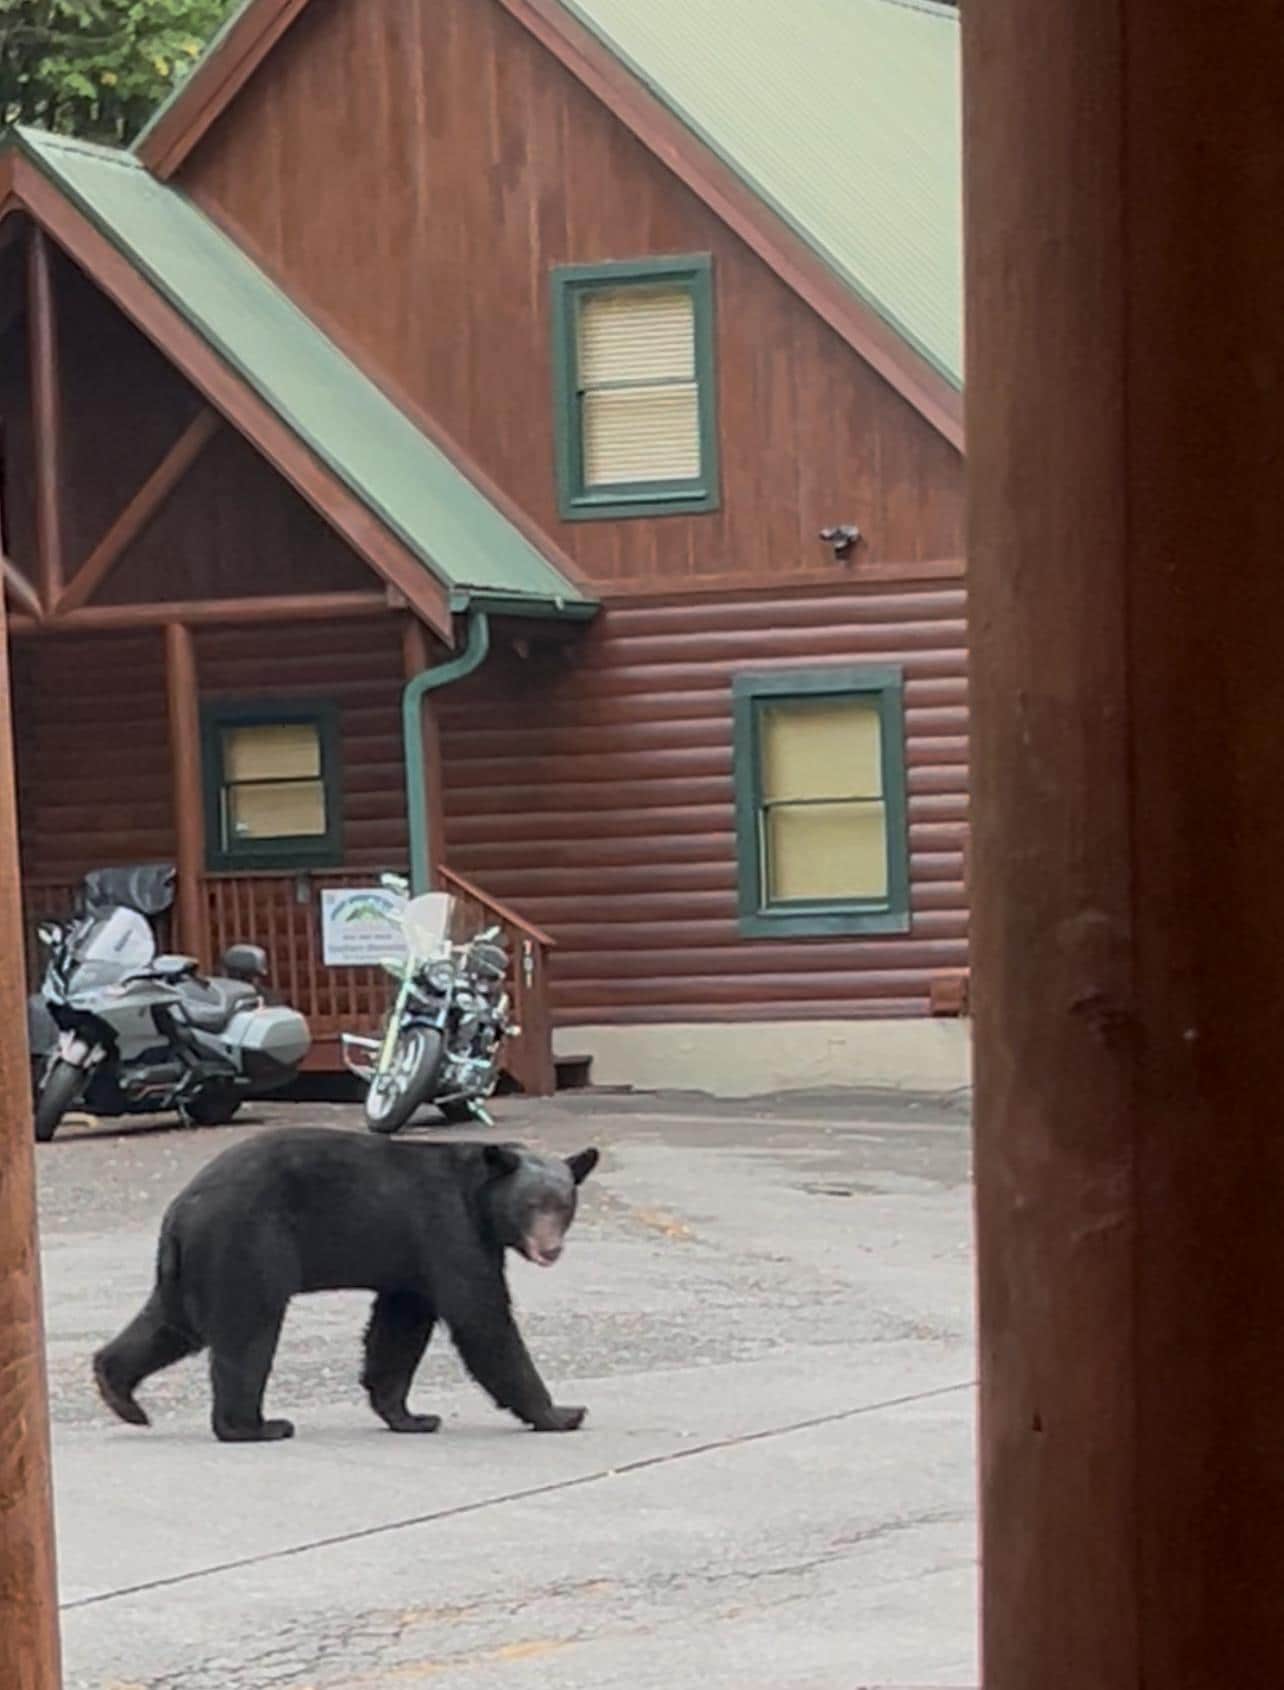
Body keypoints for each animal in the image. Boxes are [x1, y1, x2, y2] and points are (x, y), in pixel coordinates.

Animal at [92, 1127, 599, 1443]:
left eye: (565, 1204)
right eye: (532, 1204)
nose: (550, 1249)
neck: (478, 1198)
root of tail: (180, 1209)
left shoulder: (411, 1262)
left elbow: (398, 1329)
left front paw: (410, 1416)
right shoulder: (449, 1230)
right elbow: (482, 1318)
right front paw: (561, 1413)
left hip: (192, 1267)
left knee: (170, 1324)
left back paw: (119, 1392)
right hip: (247, 1244)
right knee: (247, 1332)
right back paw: (256, 1426)